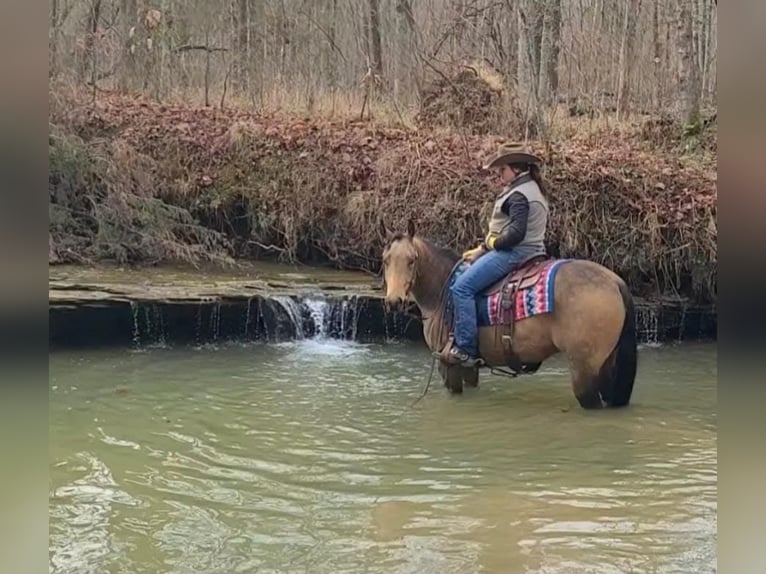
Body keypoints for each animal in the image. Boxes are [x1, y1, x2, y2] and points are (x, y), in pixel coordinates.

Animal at [380, 220, 638, 409]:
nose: (394, 301)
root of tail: (615, 281)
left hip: (584, 371)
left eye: (412, 260)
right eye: (386, 260)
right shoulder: (469, 367)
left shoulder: (448, 365)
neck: (442, 289)